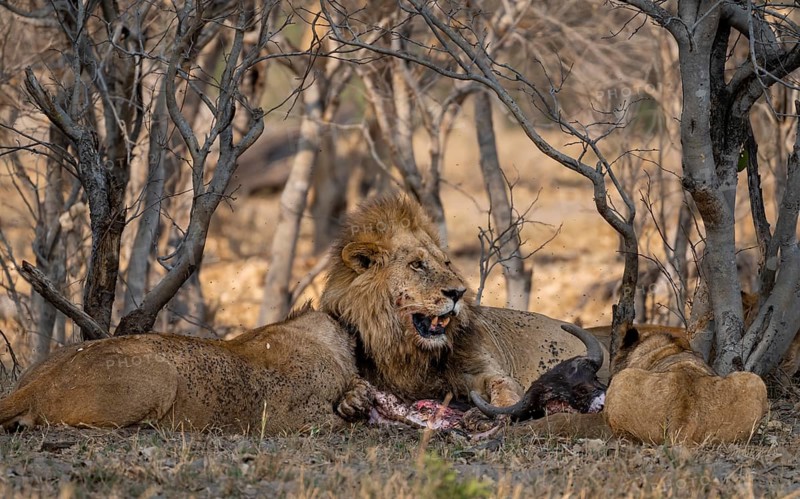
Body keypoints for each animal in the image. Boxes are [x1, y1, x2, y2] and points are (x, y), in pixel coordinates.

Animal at [319, 195, 609, 408]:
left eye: (446, 263)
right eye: (417, 265)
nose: (458, 292)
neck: (405, 351)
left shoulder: (482, 369)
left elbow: (502, 386)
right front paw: (352, 400)